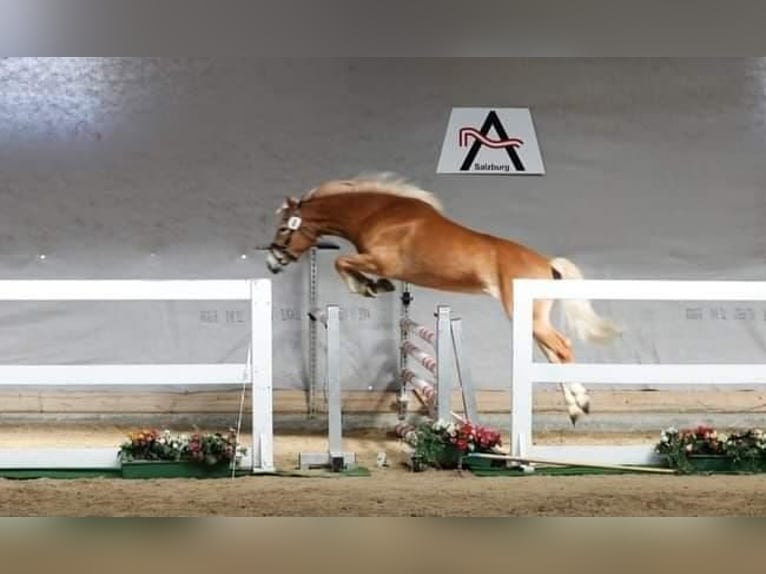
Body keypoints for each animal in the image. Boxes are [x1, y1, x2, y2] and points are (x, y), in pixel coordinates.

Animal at [265, 173, 620, 424]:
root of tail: (546, 263)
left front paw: (370, 287)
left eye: (284, 228)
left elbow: (343, 263)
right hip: (529, 318)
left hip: (529, 316)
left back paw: (580, 402)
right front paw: (374, 286)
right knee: (553, 355)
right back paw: (576, 407)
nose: (272, 262)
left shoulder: (381, 261)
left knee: (563, 347)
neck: (378, 214)